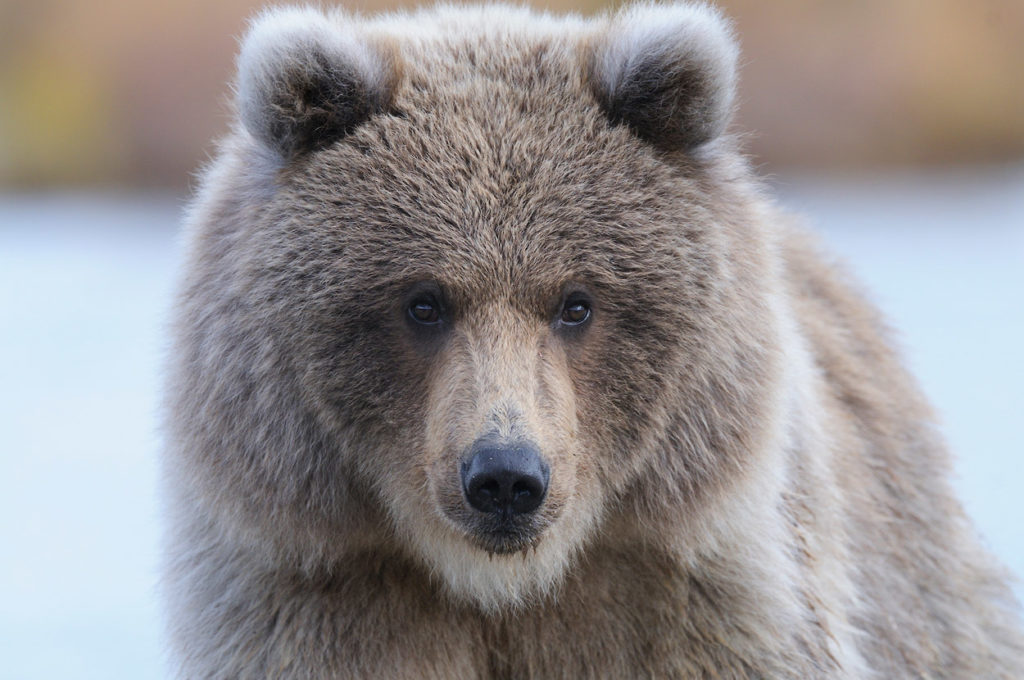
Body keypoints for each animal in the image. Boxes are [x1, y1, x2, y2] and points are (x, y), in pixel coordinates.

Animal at [161, 2, 1024, 675]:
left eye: (576, 303)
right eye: (424, 302)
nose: (505, 476)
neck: (506, 590)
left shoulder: (694, 604)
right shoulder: (324, 599)